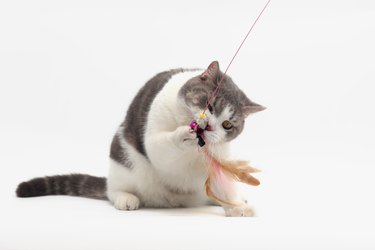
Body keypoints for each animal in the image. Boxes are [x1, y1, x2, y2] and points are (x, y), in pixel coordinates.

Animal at [16, 61, 266, 217]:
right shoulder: (153, 138)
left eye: (227, 125)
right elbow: (161, 147)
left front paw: (235, 206)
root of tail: (172, 201)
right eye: (209, 105)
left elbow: (223, 183)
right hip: (123, 160)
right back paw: (126, 198)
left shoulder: (220, 156)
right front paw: (182, 134)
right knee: (112, 190)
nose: (209, 126)